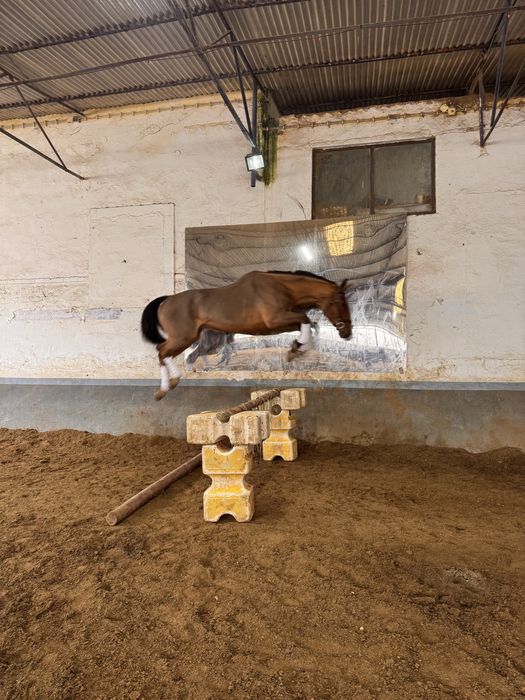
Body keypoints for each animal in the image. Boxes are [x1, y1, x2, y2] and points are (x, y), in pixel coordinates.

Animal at [141, 270, 352, 400]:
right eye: (341, 302)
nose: (347, 333)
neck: (282, 288)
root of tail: (166, 301)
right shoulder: (275, 320)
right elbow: (306, 319)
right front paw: (295, 350)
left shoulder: (278, 325)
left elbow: (310, 325)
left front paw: (298, 348)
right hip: (184, 337)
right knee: (162, 351)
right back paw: (168, 385)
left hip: (187, 338)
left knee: (165, 352)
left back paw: (169, 385)